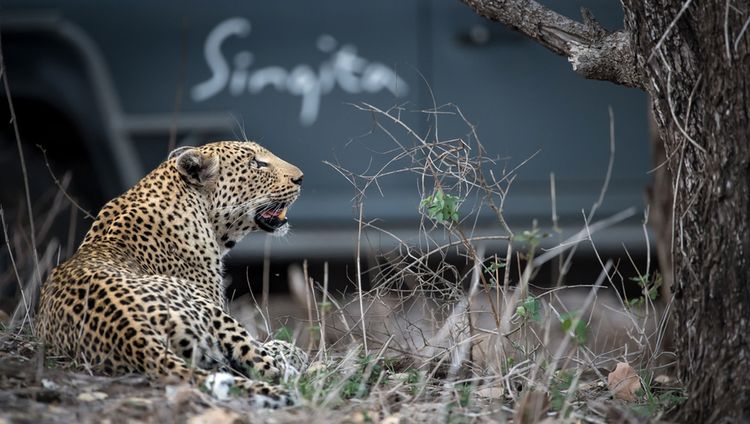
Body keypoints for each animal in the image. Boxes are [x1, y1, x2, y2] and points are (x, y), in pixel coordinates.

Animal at [33, 141, 310, 410]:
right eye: (256, 163)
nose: (301, 178)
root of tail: (131, 331)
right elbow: (276, 349)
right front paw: (295, 350)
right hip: (215, 315)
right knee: (272, 368)